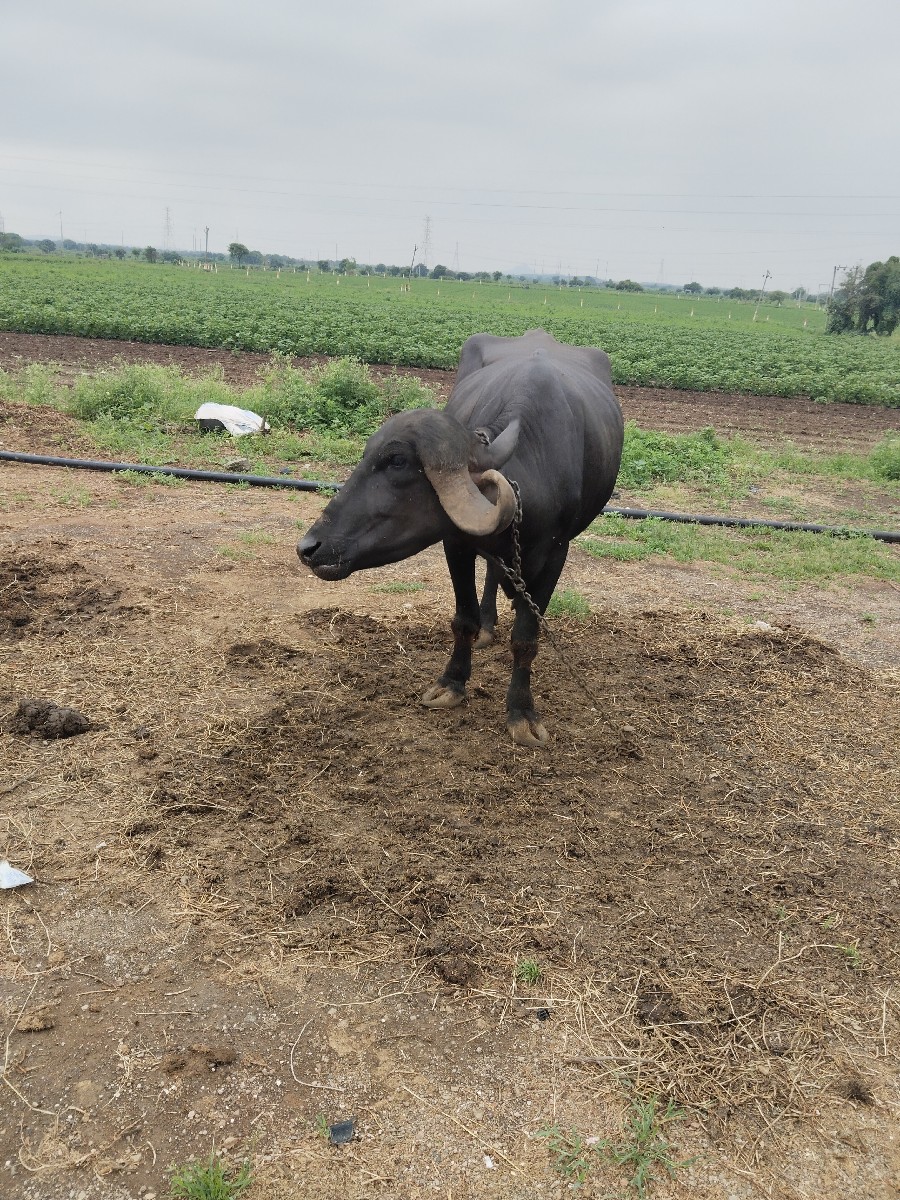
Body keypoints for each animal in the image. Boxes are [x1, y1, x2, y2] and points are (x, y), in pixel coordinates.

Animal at [298, 329, 624, 747]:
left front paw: (522, 711)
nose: (309, 548)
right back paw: (489, 624)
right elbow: (463, 619)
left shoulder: (556, 552)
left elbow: (527, 637)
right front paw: (452, 682)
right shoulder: (456, 543)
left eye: (397, 461)